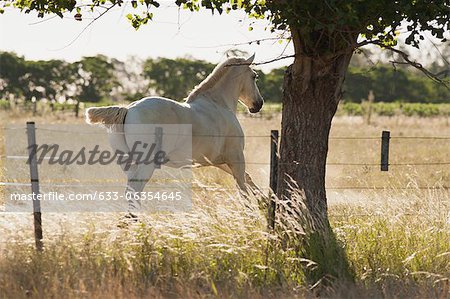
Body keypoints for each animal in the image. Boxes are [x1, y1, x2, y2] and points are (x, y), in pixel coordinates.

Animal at [84, 54, 264, 213]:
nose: (258, 104)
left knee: (130, 192)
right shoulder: (236, 157)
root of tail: (128, 109)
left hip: (130, 165)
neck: (218, 104)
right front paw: (252, 212)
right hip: (146, 164)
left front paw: (264, 201)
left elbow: (247, 179)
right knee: (135, 190)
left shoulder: (220, 161)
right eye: (254, 76)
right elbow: (242, 188)